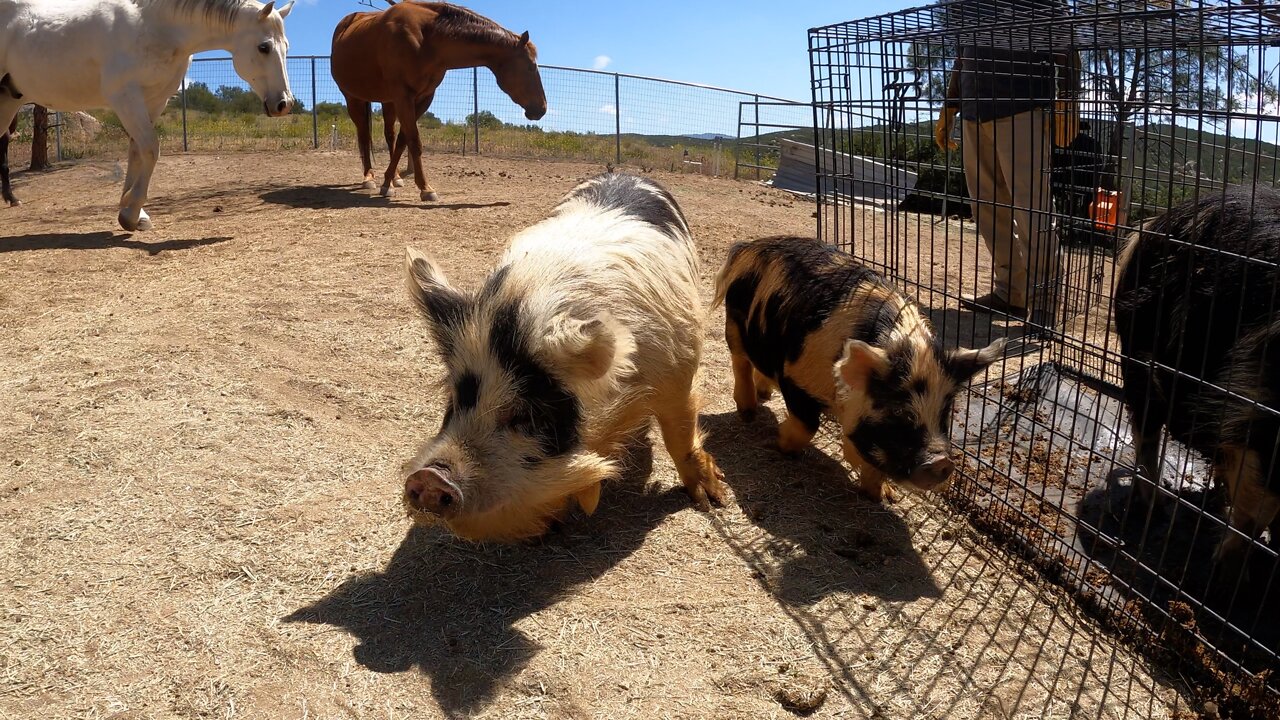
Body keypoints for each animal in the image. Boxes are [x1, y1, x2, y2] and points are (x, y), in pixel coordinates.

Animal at [0, 0, 293, 229]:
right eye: (264, 47)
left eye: (287, 47)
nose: (284, 104)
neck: (155, 26)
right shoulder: (125, 97)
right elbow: (151, 148)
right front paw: (130, 213)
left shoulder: (154, 100)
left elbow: (137, 151)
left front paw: (131, 210)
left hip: (8, 102)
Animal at [330, 2, 545, 199]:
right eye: (530, 67)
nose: (541, 108)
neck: (427, 38)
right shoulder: (403, 96)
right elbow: (414, 141)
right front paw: (425, 188)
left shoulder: (423, 98)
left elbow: (403, 140)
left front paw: (388, 181)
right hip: (353, 98)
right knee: (363, 135)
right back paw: (368, 177)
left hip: (388, 102)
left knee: (389, 135)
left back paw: (395, 178)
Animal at [399, 170, 727, 538]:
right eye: (454, 402)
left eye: (528, 414)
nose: (428, 478)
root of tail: (622, 172)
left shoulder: (679, 366)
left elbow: (680, 434)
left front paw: (712, 499)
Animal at [716, 235, 1003, 499]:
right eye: (898, 411)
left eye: (945, 412)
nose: (942, 462)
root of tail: (750, 246)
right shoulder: (796, 377)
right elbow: (807, 426)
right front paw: (781, 446)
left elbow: (868, 459)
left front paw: (884, 496)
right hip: (735, 324)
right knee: (740, 363)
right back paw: (748, 411)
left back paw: (764, 395)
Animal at [1111, 188, 1280, 568]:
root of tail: (1149, 227)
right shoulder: (1254, 403)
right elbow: (1257, 505)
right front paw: (1222, 566)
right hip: (1138, 356)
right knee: (1145, 431)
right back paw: (1158, 506)